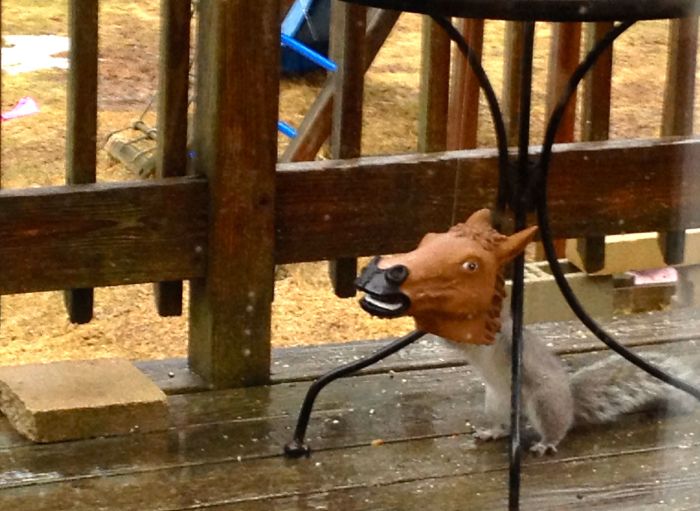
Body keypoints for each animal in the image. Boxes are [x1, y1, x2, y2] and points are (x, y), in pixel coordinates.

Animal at [455, 308, 699, 456]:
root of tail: (569, 401)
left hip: (545, 403)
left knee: (556, 428)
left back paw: (545, 443)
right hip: (496, 402)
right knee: (505, 426)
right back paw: (492, 432)